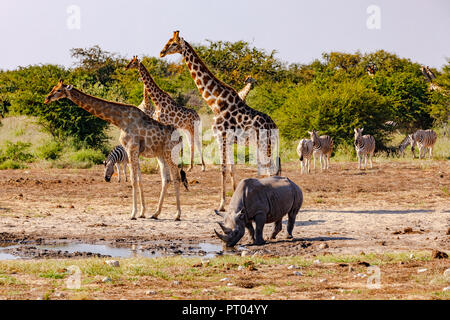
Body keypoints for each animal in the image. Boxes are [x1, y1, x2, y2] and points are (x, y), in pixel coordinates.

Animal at [44, 79, 188, 220]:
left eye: (58, 90)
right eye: (52, 88)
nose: (47, 98)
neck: (120, 121)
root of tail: (180, 138)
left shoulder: (131, 148)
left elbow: (133, 180)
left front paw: (133, 214)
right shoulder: (134, 151)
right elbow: (139, 180)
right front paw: (142, 212)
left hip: (170, 153)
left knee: (176, 178)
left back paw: (177, 215)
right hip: (160, 155)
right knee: (166, 179)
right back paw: (156, 213)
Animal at [160, 29, 280, 210]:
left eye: (173, 43)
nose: (161, 52)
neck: (216, 103)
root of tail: (275, 127)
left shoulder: (221, 138)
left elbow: (223, 169)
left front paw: (221, 204)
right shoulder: (228, 140)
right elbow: (231, 168)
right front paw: (234, 197)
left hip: (263, 144)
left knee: (270, 169)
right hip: (263, 145)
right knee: (269, 169)